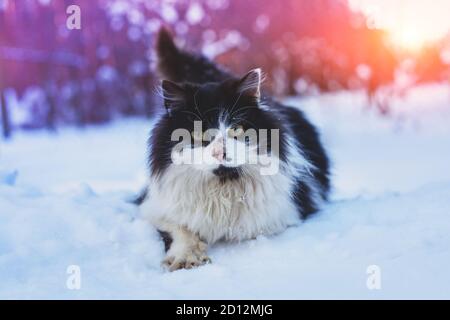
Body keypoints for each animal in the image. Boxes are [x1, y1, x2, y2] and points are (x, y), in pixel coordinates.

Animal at [138, 28, 330, 272]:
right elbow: (180, 229)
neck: (223, 188)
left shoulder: (283, 214)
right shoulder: (152, 209)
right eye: (199, 133)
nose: (220, 152)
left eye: (236, 129)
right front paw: (185, 257)